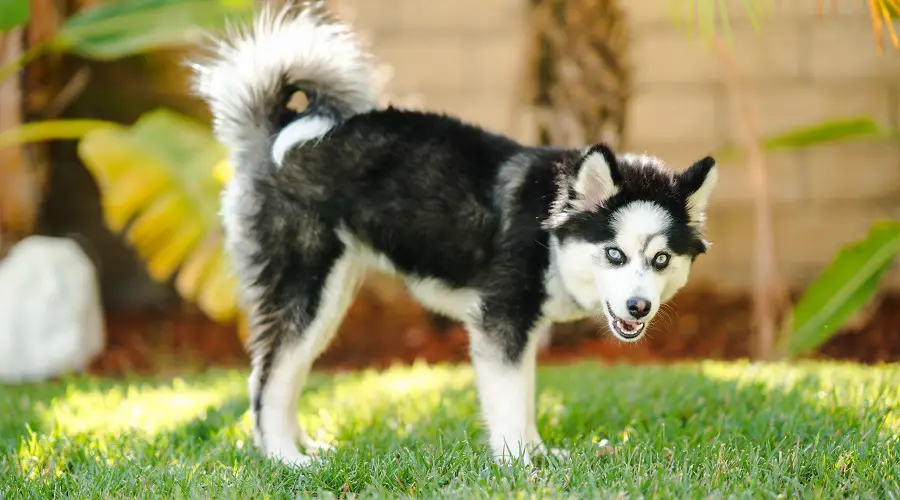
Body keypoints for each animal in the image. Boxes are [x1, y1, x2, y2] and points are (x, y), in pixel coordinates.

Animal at [190, 0, 716, 468]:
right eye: (614, 254)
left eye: (661, 259)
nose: (638, 307)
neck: (548, 232)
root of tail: (276, 129)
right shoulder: (500, 323)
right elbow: (509, 402)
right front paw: (519, 466)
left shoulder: (522, 329)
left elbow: (525, 398)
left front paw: (541, 454)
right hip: (304, 287)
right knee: (267, 379)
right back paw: (286, 460)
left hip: (328, 297)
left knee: (283, 372)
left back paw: (308, 448)